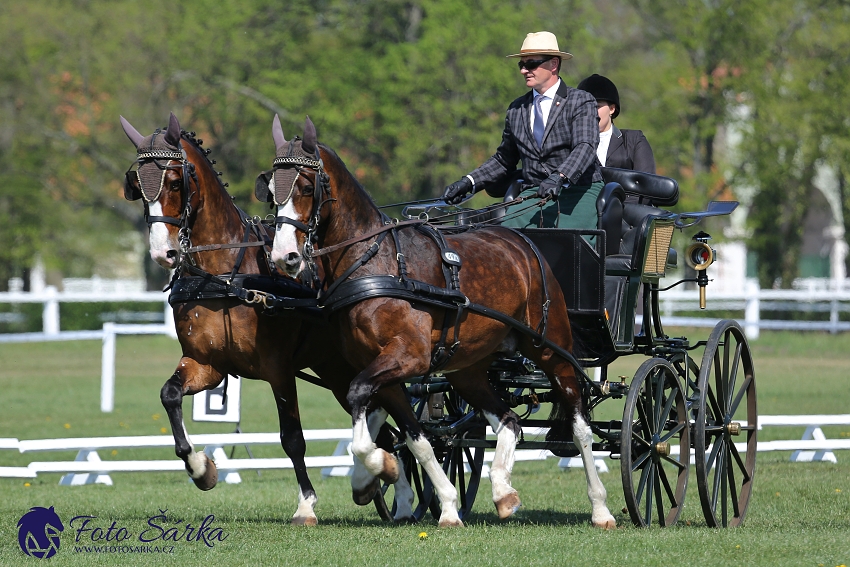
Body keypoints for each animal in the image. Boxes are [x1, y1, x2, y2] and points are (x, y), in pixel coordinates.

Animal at [117, 114, 418, 528]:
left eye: (175, 182)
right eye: (137, 187)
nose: (164, 253)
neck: (226, 274)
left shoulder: (278, 369)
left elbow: (292, 437)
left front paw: (306, 504)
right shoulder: (206, 364)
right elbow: (170, 395)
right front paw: (201, 469)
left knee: (394, 427)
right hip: (338, 371)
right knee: (387, 430)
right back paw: (386, 487)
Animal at [258, 115, 616, 528]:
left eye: (305, 186)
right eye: (270, 191)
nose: (284, 257)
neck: (375, 262)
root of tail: (524, 243)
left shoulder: (408, 357)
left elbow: (363, 409)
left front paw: (380, 469)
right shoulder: (383, 369)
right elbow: (415, 439)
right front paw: (431, 499)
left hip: (551, 350)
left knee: (580, 426)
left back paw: (601, 508)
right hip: (468, 369)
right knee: (509, 419)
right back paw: (503, 491)